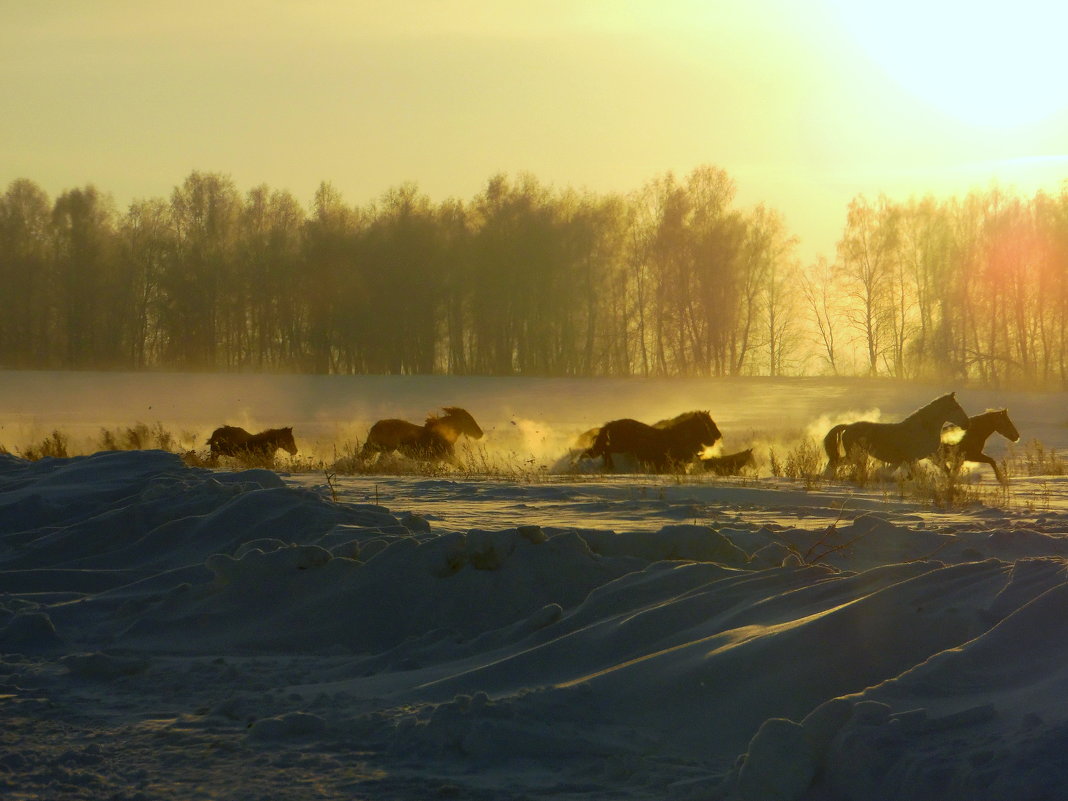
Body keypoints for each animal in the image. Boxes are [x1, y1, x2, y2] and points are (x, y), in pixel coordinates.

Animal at [580, 410, 721, 474]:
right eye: (706, 425)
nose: (715, 438)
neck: (677, 438)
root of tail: (611, 425)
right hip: (617, 447)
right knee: (605, 451)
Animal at [820, 393, 974, 480]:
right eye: (955, 407)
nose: (967, 424)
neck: (923, 428)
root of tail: (848, 427)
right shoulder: (911, 458)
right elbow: (914, 475)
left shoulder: (929, 455)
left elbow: (945, 469)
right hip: (856, 456)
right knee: (835, 463)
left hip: (858, 457)